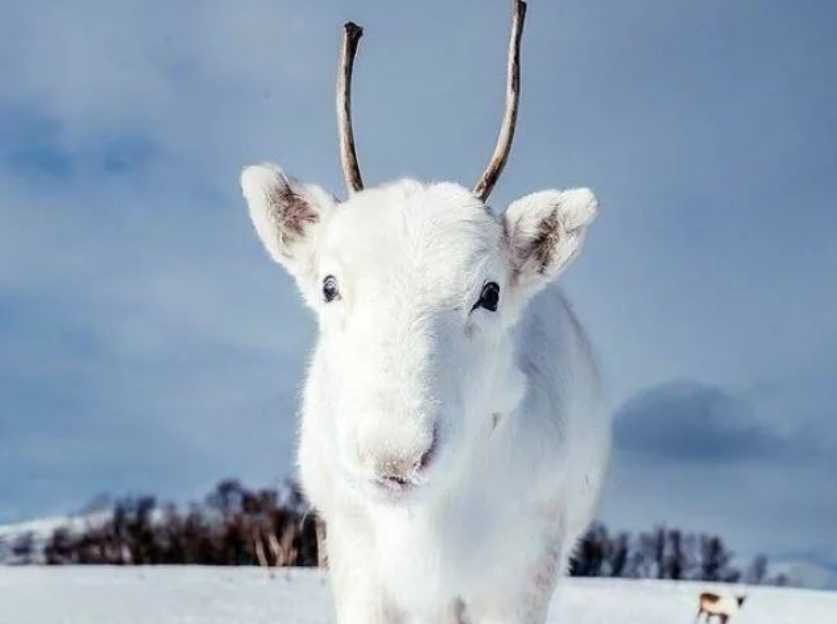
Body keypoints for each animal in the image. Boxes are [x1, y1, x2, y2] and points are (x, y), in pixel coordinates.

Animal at [239, 2, 611, 622]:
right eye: (329, 286)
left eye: (490, 292)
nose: (394, 454)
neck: (424, 524)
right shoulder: (354, 558)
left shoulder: (521, 571)